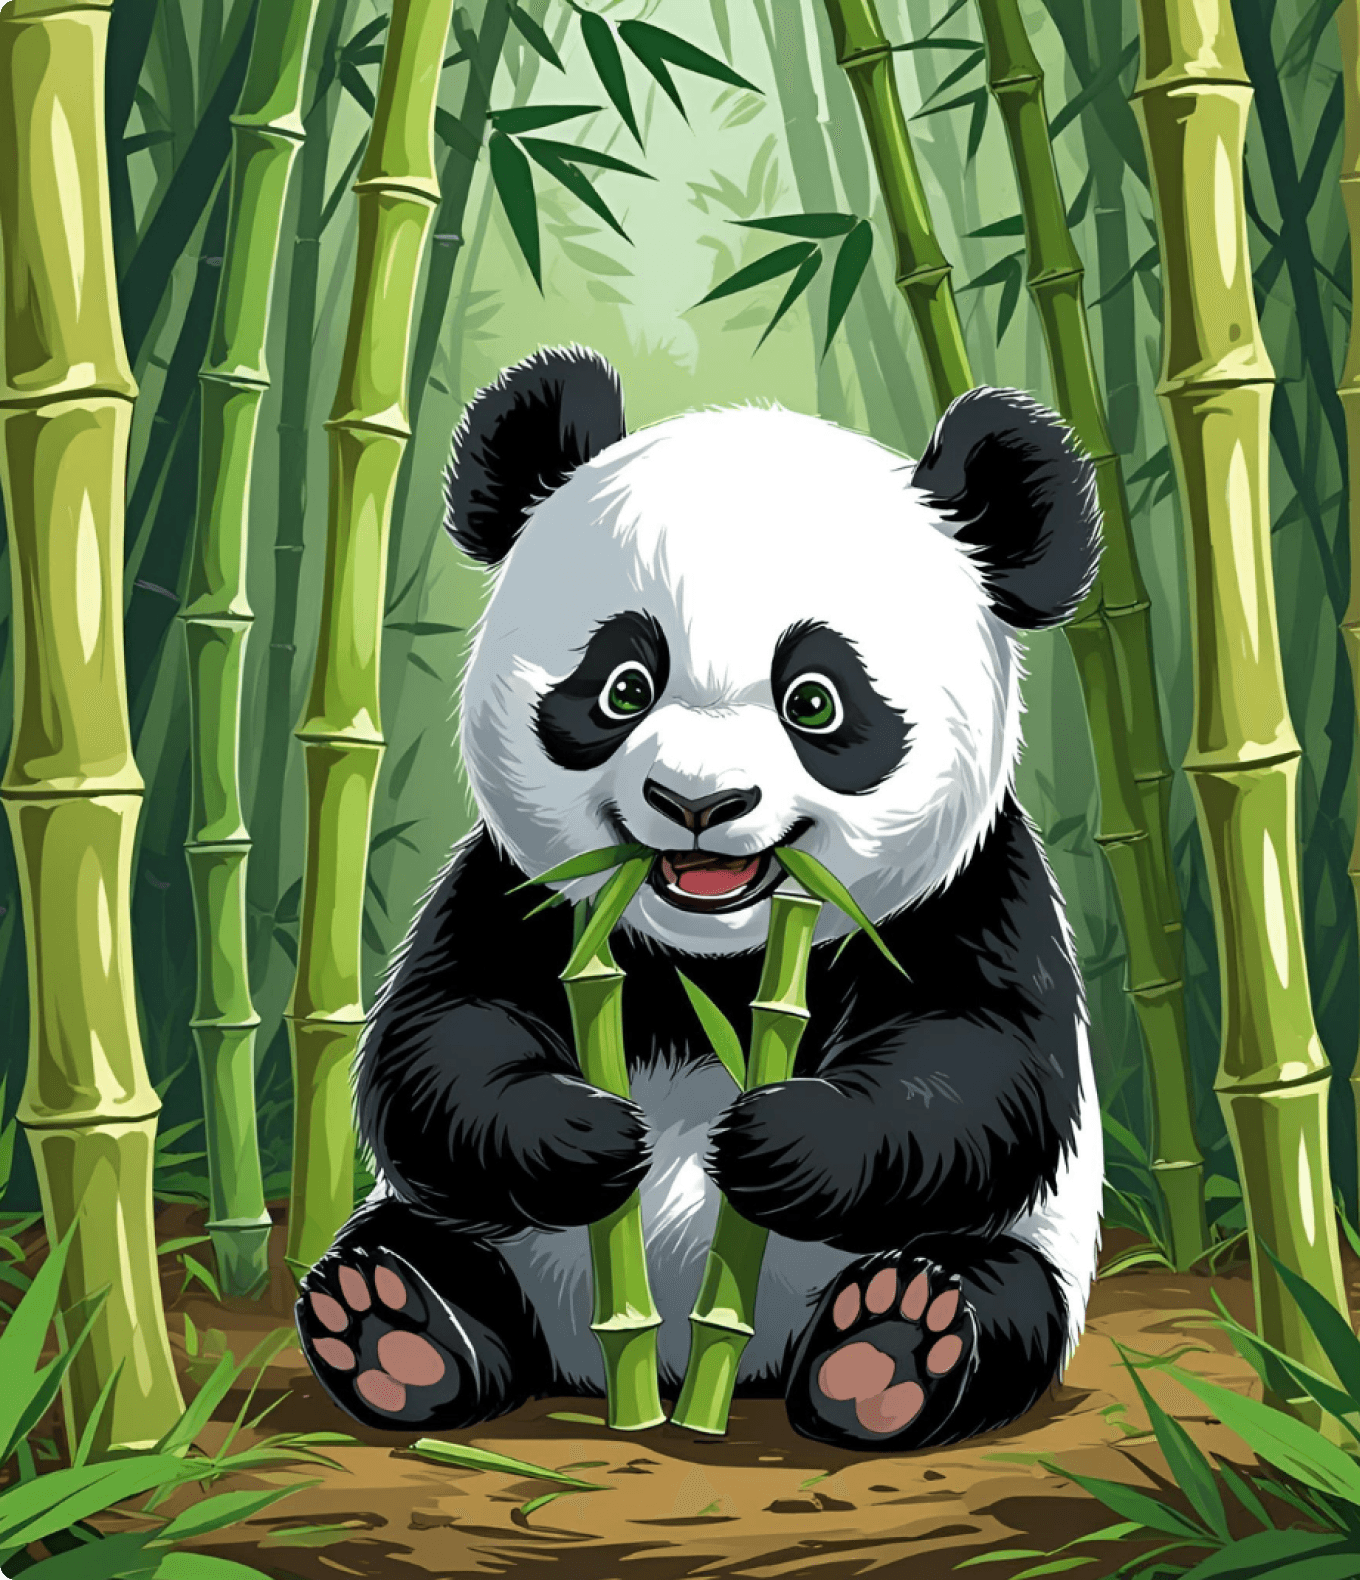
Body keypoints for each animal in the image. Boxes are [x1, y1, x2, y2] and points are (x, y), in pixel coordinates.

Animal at [296, 345, 1104, 1452]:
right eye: (624, 684)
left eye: (815, 700)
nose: (697, 803)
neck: (711, 955)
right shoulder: (513, 889)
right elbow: (438, 1044)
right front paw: (588, 1135)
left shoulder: (974, 888)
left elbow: (982, 1068)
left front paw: (779, 1140)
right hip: (497, 1251)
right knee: (425, 1243)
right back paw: (393, 1329)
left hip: (1018, 1254)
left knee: (998, 1287)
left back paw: (890, 1349)